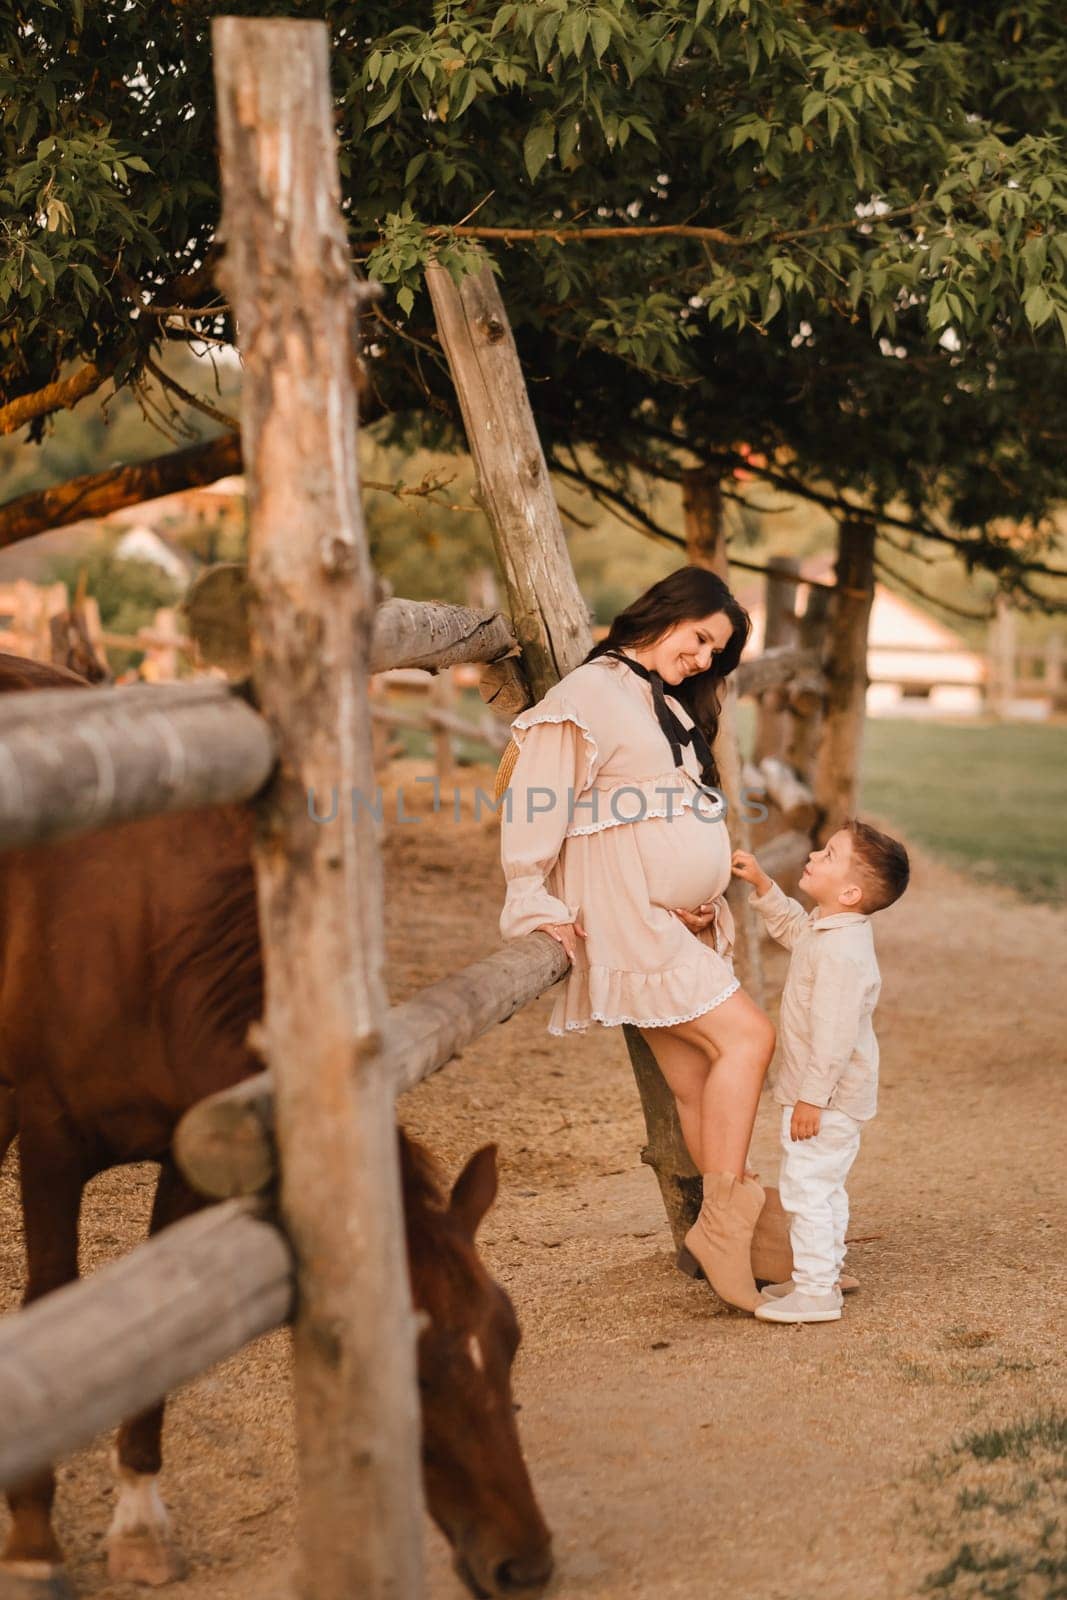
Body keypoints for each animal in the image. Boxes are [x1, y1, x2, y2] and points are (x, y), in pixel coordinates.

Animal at [0, 652, 550, 1600]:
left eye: (508, 1335)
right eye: (410, 1371)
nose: (526, 1562)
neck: (146, 941)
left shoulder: (194, 1152)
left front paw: (139, 1522)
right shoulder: (51, 1142)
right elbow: (52, 1298)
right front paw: (33, 1542)